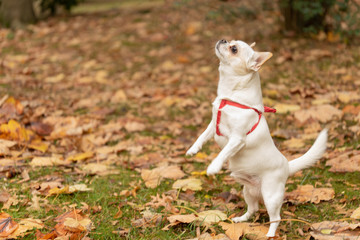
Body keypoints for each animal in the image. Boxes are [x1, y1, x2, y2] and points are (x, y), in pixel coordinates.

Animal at [187, 39, 328, 236]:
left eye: (234, 49)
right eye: (230, 42)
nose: (223, 40)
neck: (231, 96)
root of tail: (287, 165)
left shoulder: (237, 139)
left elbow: (223, 153)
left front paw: (213, 166)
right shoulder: (213, 125)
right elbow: (201, 136)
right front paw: (192, 149)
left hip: (271, 196)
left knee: (276, 218)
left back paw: (270, 234)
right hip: (248, 191)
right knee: (253, 208)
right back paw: (240, 219)